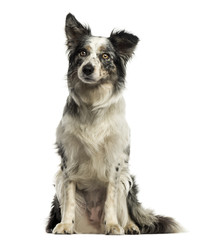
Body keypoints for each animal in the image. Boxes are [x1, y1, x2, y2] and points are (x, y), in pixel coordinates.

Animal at [46, 13, 182, 234]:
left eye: (105, 56)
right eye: (82, 53)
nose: (87, 68)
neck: (93, 104)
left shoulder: (115, 159)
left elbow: (111, 196)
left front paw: (112, 225)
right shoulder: (69, 158)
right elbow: (69, 197)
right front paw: (65, 225)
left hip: (127, 178)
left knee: (125, 208)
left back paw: (129, 226)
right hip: (58, 178)